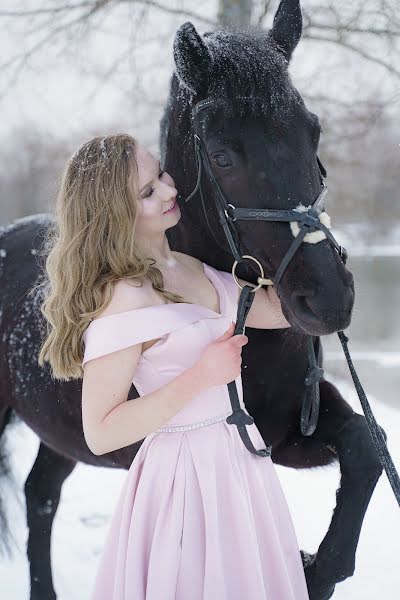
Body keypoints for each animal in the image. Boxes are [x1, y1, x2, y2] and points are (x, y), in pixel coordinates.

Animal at [0, 2, 384, 596]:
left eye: (313, 131)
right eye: (222, 156)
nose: (328, 298)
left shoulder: (293, 431)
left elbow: (367, 441)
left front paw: (317, 566)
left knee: (41, 496)